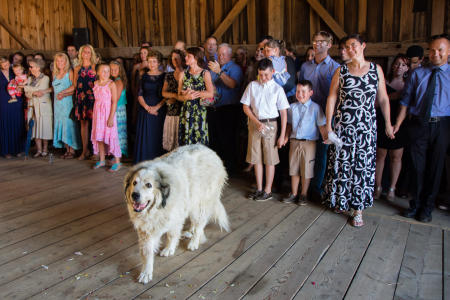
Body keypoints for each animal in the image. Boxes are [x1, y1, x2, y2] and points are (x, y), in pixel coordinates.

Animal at [123, 145, 229, 284]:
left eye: (149, 185)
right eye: (134, 183)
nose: (134, 195)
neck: (157, 208)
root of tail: (210, 151)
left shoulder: (176, 218)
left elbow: (172, 235)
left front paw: (169, 248)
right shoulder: (146, 230)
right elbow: (147, 252)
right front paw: (146, 272)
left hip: (199, 203)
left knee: (200, 223)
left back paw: (194, 241)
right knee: (196, 223)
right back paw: (190, 231)